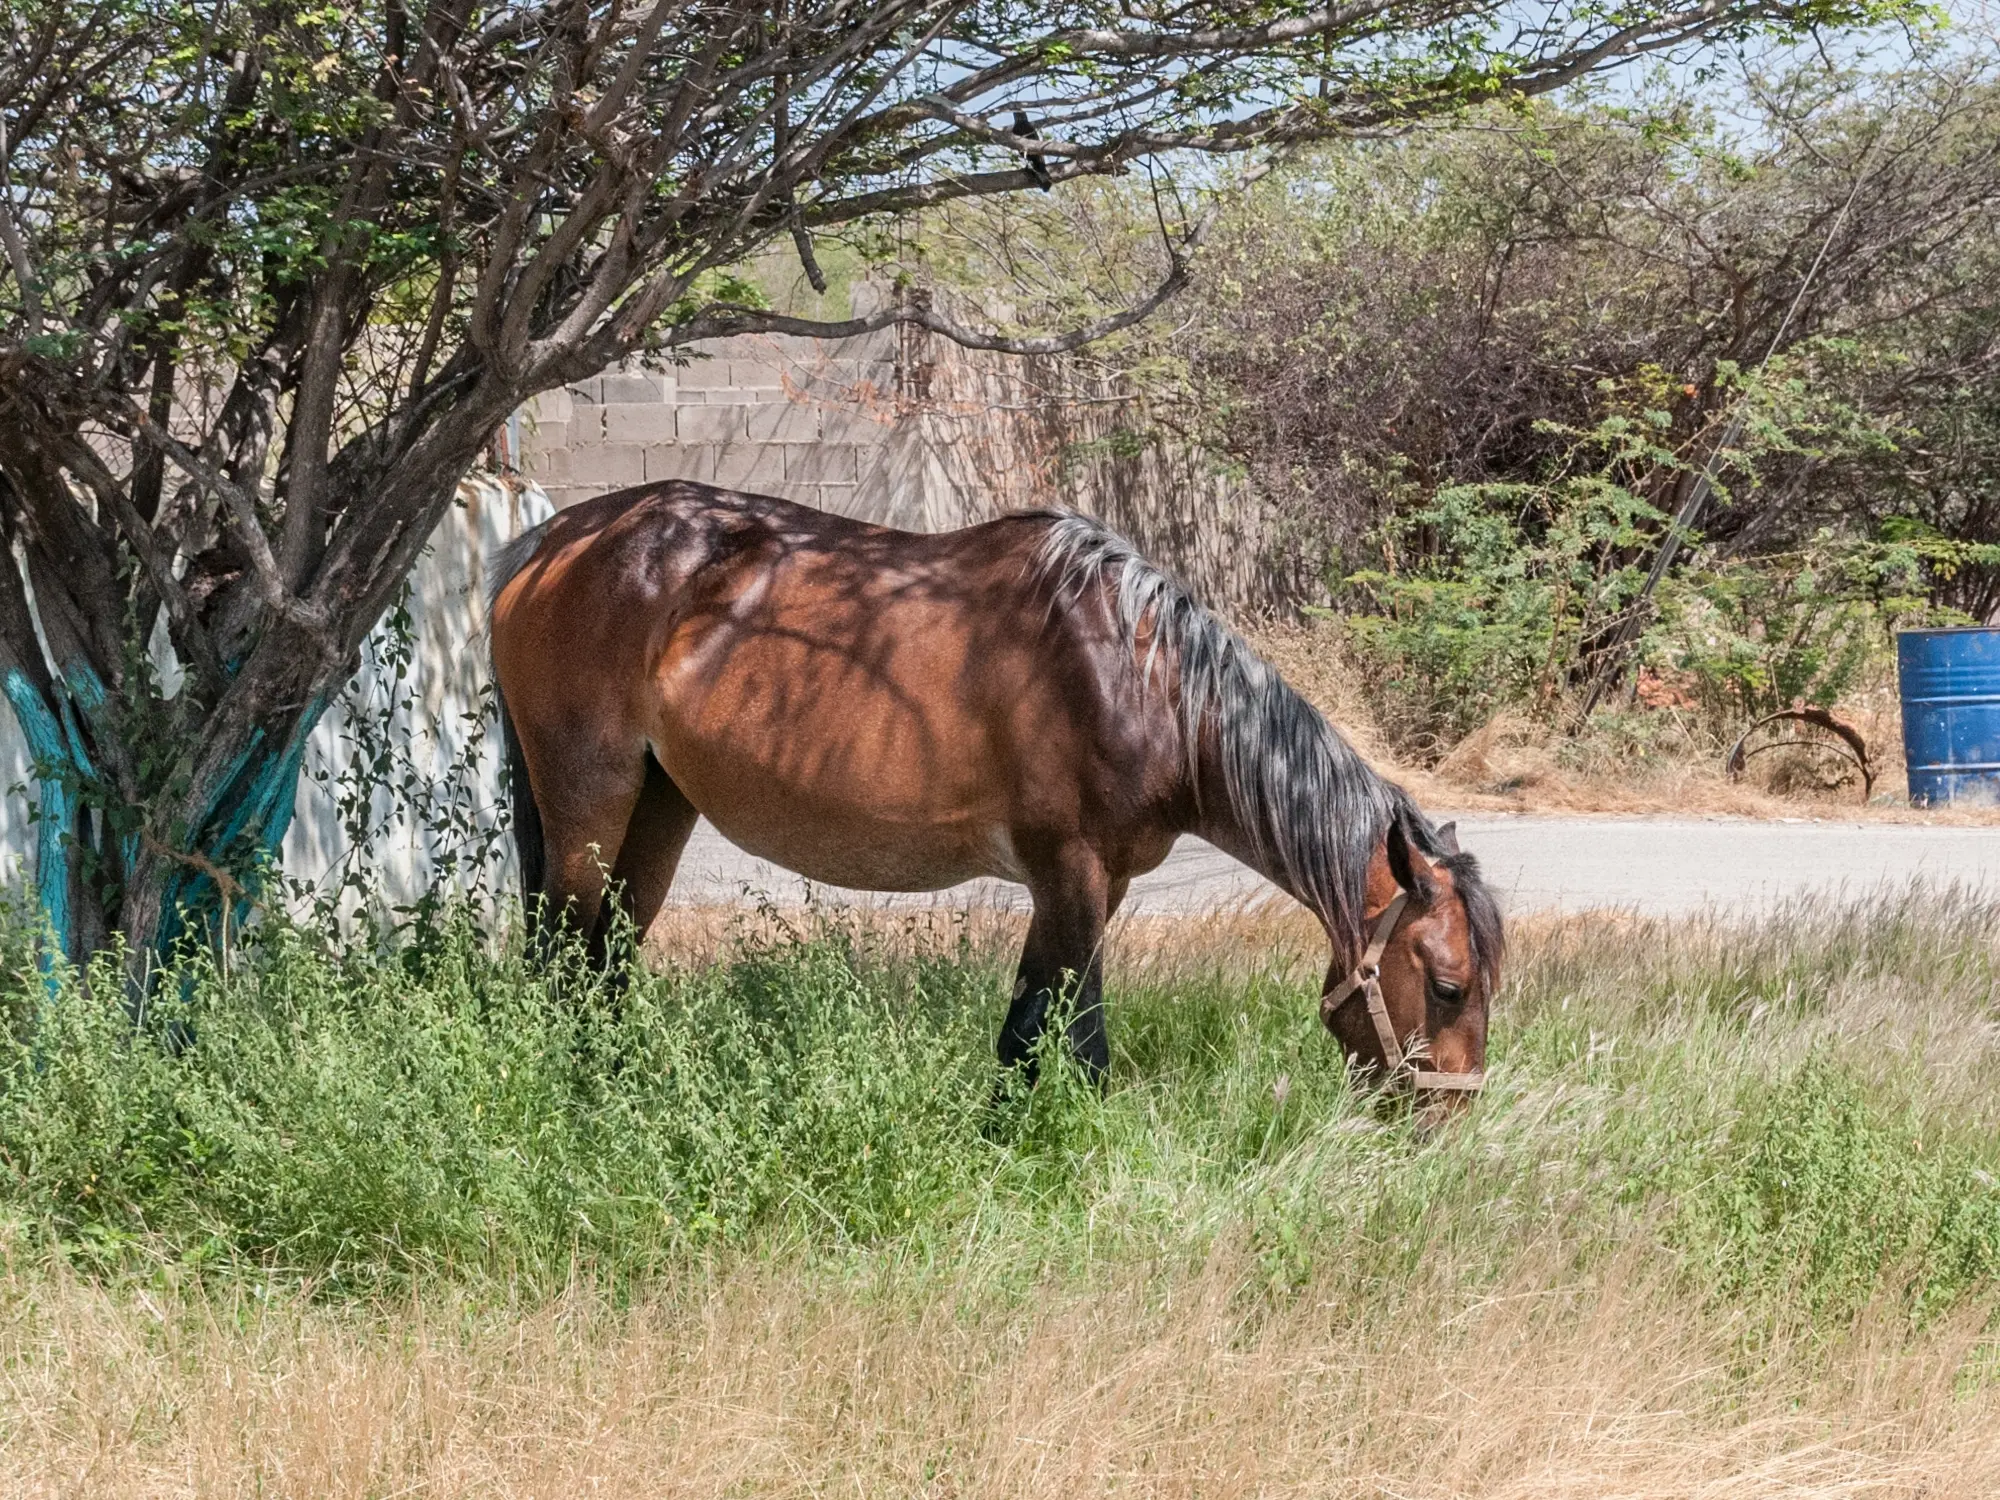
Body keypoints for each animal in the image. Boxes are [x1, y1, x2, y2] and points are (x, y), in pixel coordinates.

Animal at [488, 488, 1504, 1096]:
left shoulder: (1094, 884)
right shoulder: (1072, 871)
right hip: (588, 801)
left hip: (661, 806)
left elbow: (1026, 1030)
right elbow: (1075, 1042)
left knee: (606, 961)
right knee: (556, 960)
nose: (1446, 1120)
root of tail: (548, 544)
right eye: (1447, 986)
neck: (1147, 683)